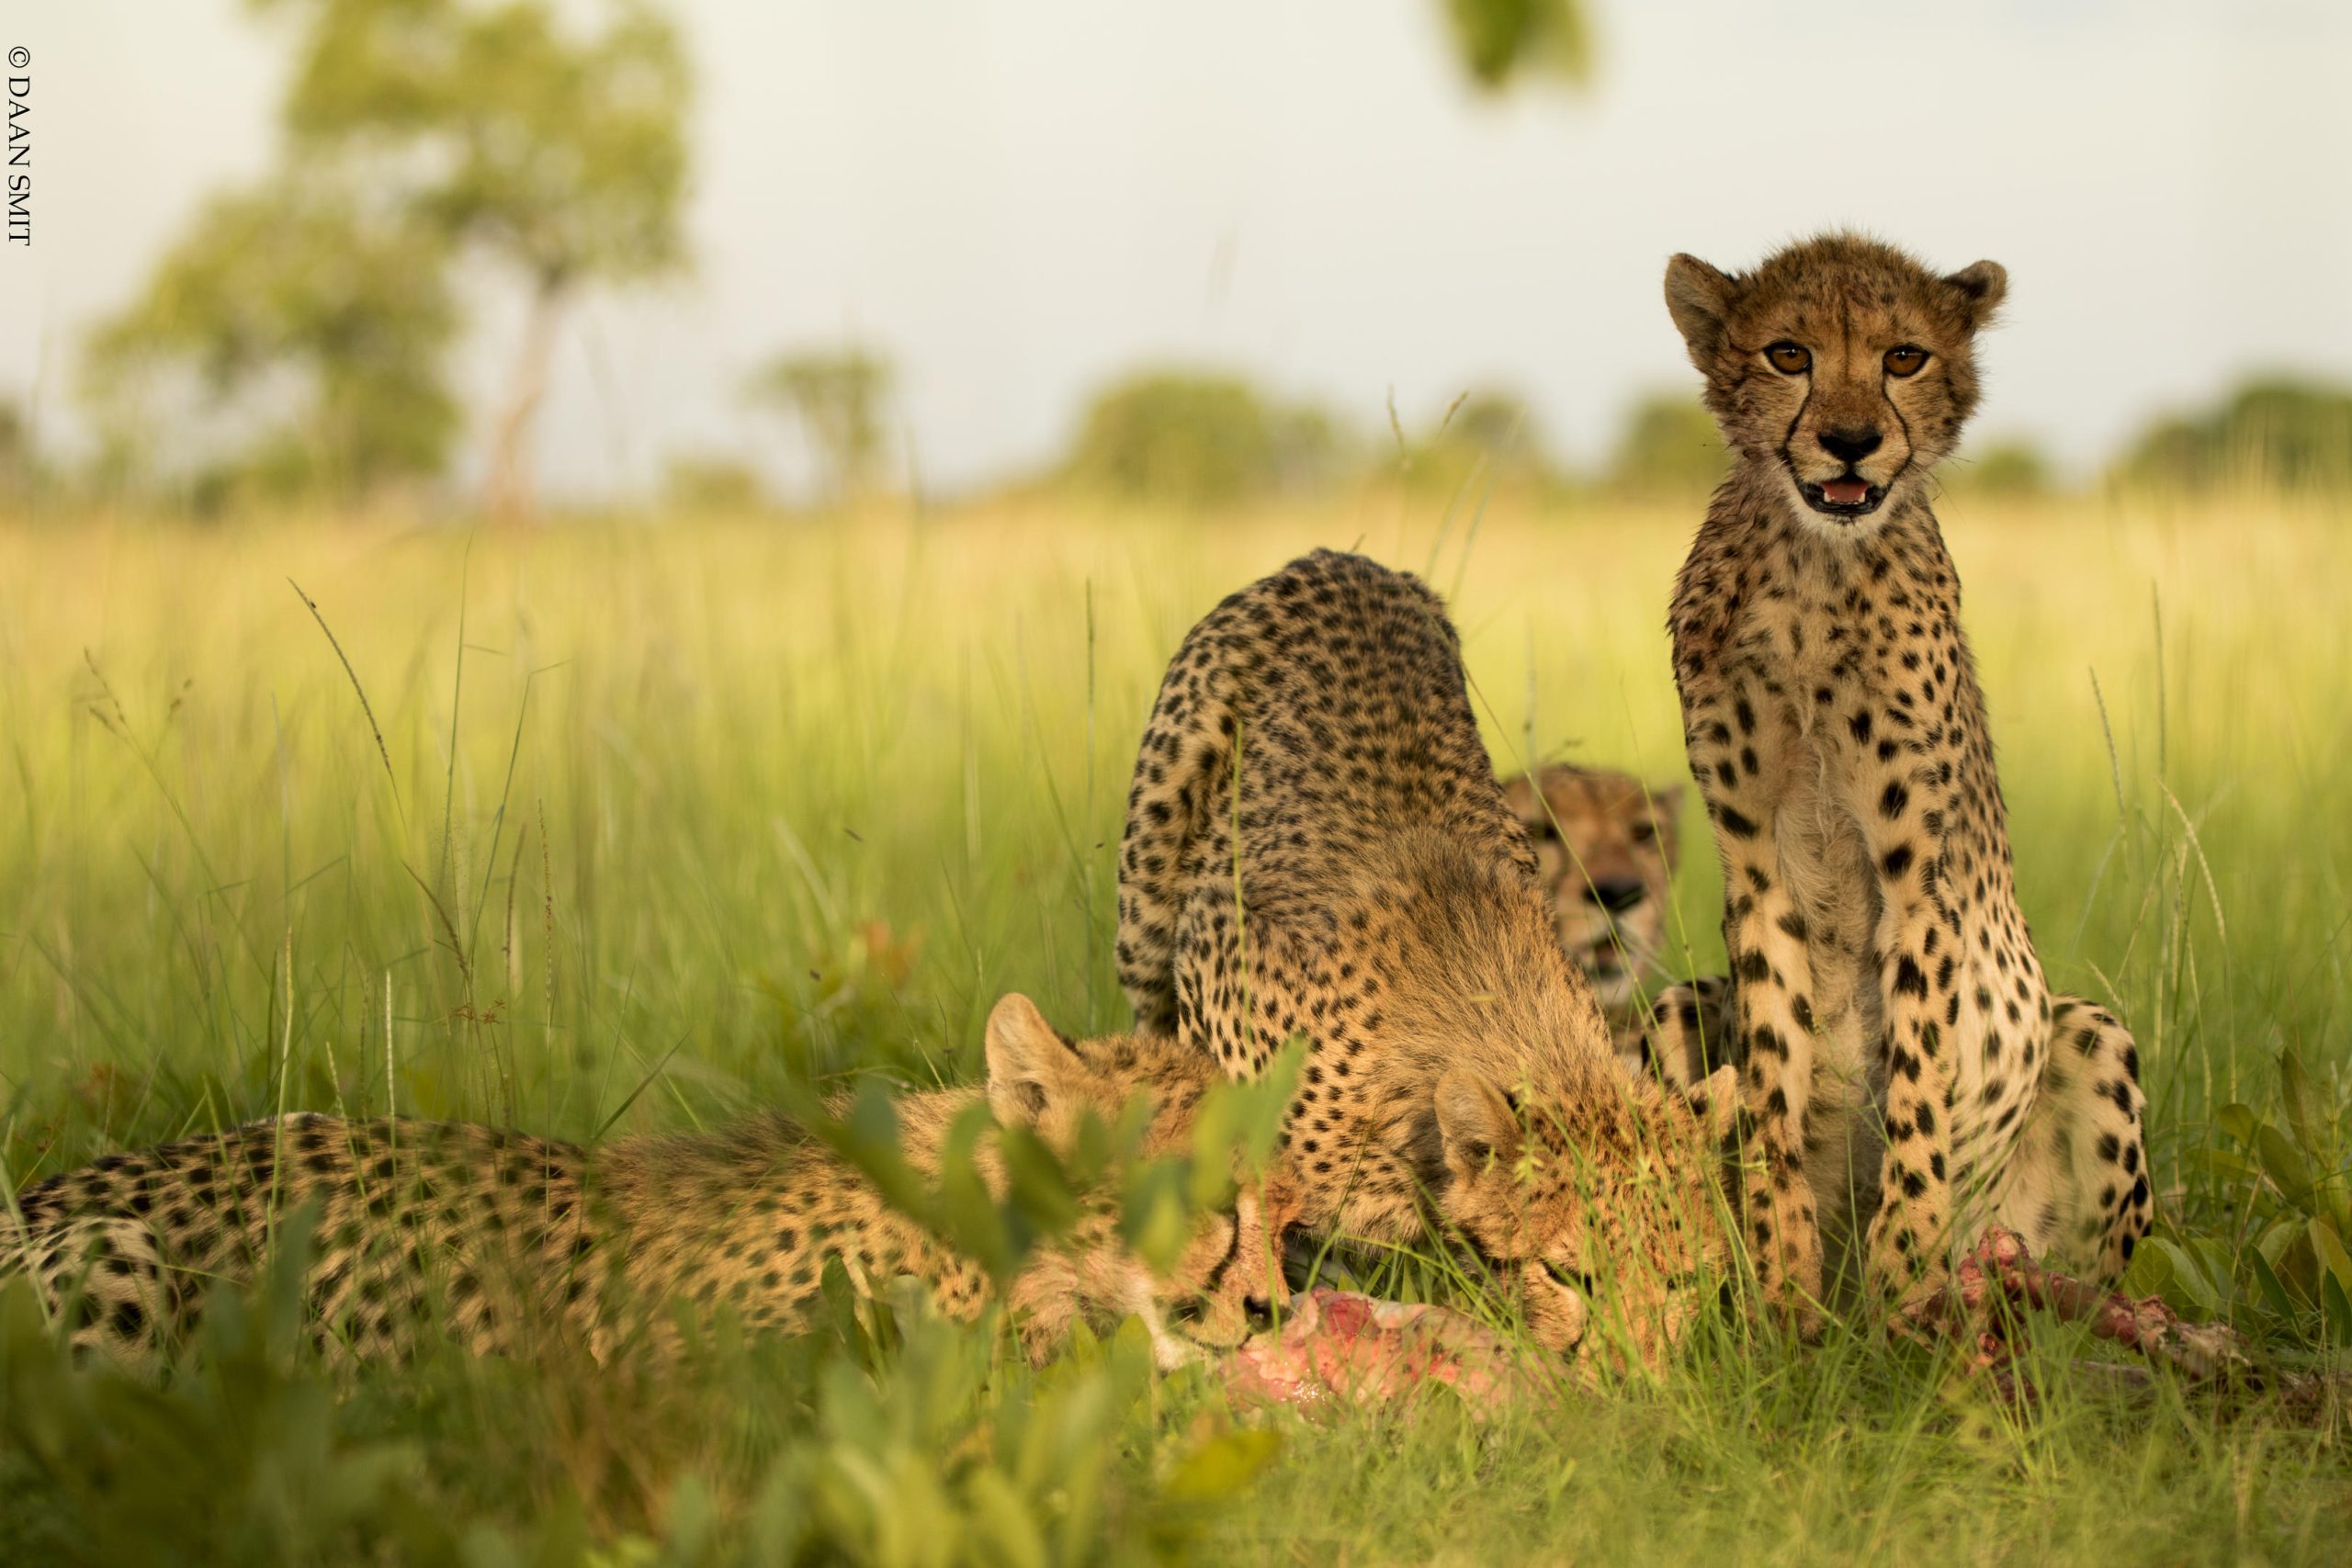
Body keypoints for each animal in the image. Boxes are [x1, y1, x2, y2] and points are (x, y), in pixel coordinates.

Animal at [1115, 548, 1735, 1370]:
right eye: (1570, 1276)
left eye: (1683, 1280)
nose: (1636, 1380)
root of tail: (1345, 559)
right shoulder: (1214, 952)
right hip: (1148, 899)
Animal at [1644, 232, 2151, 1320]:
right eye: (1788, 355)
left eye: (1904, 358)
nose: (1848, 441)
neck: (1813, 570)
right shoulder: (1754, 866)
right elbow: (1773, 1086)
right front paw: (1783, 1294)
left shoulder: (1924, 877)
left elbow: (1919, 1082)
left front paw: (1899, 1286)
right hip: (1673, 1006)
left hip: (2089, 1038)